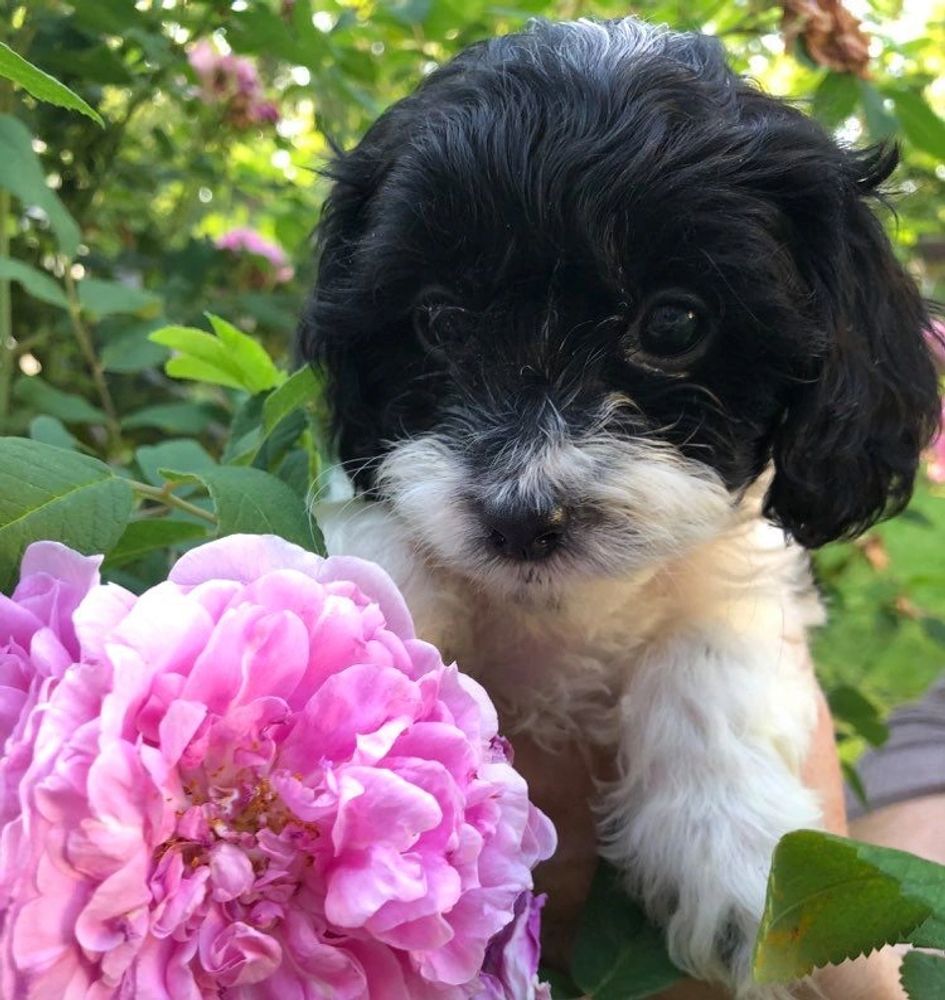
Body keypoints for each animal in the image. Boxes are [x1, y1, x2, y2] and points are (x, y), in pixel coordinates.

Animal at [298, 17, 940, 1000]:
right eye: (438, 323)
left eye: (673, 324)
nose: (521, 516)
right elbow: (377, 567)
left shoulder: (744, 578)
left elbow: (711, 650)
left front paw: (727, 849)